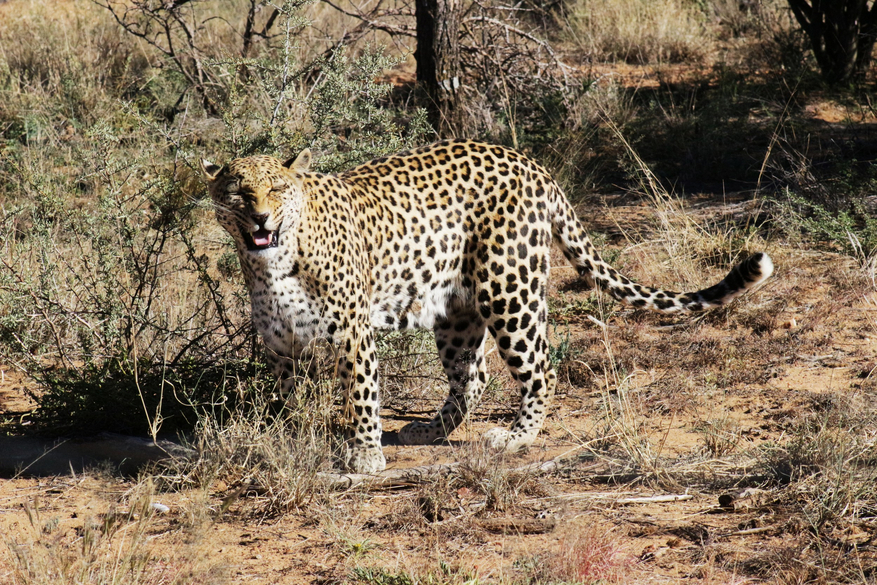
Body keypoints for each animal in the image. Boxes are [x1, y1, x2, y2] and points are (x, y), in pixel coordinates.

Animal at [200, 139, 772, 472]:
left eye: (277, 188)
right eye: (239, 192)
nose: (261, 218)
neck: (271, 263)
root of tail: (533, 163)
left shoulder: (353, 334)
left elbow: (361, 395)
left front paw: (364, 453)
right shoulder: (281, 346)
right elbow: (288, 400)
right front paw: (290, 439)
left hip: (509, 291)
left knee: (541, 368)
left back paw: (515, 439)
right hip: (457, 310)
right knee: (472, 378)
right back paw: (428, 430)